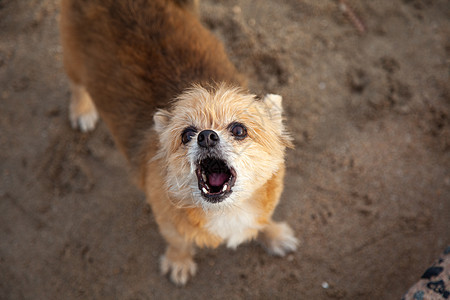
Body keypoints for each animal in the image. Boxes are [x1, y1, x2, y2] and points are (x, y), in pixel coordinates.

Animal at [60, 0, 298, 284]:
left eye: (239, 130)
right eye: (186, 134)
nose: (206, 136)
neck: (227, 211)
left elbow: (263, 220)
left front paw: (274, 235)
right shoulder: (166, 221)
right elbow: (178, 242)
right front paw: (179, 261)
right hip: (73, 60)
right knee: (75, 84)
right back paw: (81, 110)